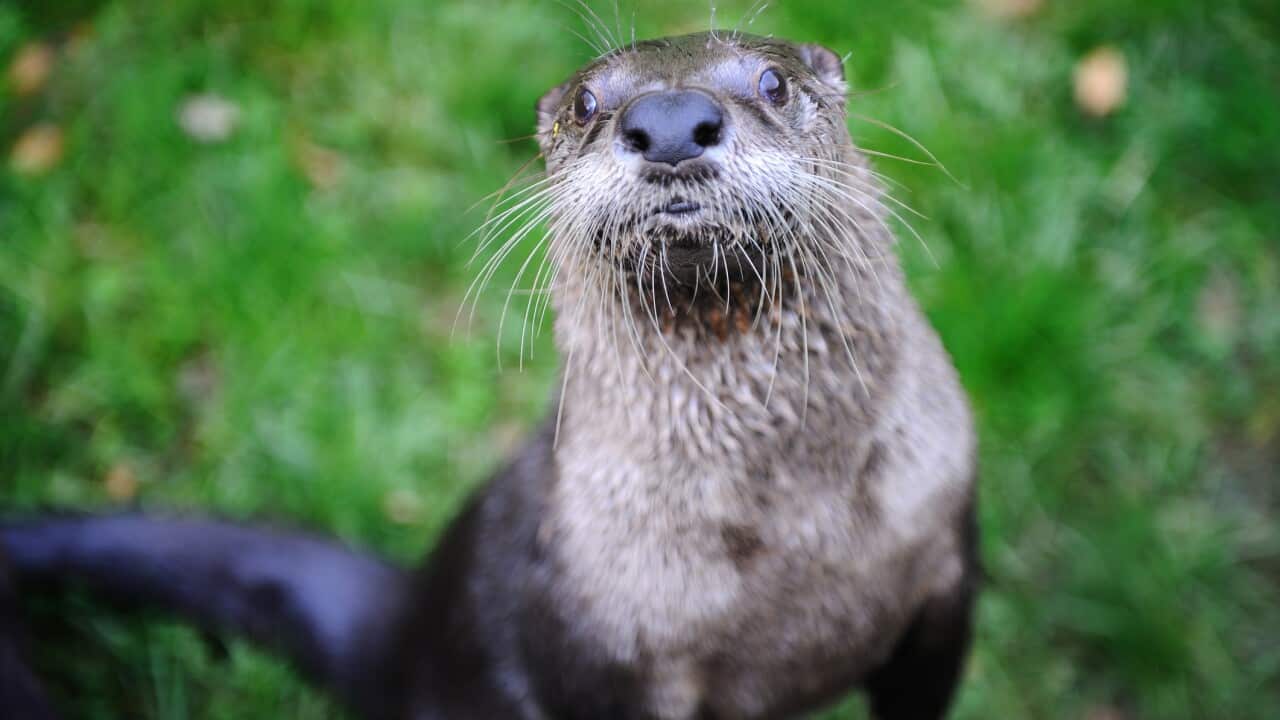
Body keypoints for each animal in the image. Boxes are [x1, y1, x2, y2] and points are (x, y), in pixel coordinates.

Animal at [0, 32, 977, 720]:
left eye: (773, 82)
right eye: (586, 100)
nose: (667, 122)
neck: (793, 536)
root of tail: (408, 625)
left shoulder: (944, 557)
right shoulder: (600, 656)